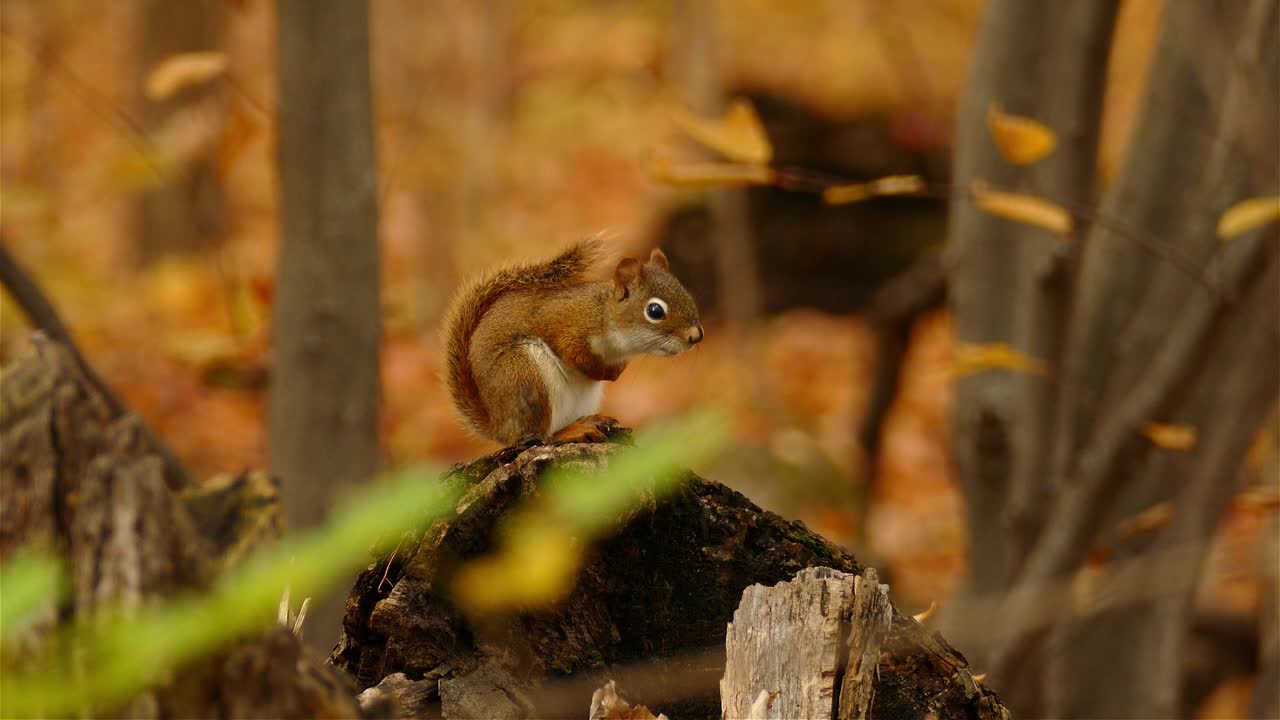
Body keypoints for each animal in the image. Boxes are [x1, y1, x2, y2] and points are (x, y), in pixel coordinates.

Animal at [443, 236, 703, 444]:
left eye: (686, 293)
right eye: (655, 311)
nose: (696, 336)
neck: (604, 313)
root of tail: (499, 426)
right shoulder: (569, 328)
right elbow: (578, 356)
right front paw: (609, 373)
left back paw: (590, 421)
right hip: (524, 375)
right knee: (537, 436)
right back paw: (570, 432)